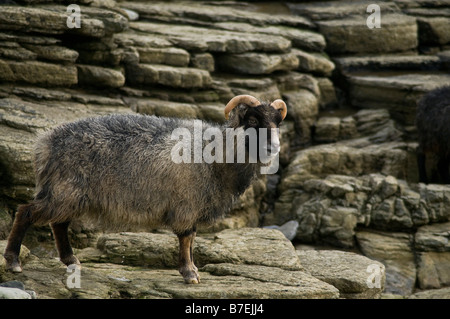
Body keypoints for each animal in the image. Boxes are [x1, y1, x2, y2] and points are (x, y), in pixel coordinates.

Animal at [3, 94, 286, 284]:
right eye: (253, 119)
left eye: (277, 123)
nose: (273, 147)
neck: (217, 155)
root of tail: (44, 143)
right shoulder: (187, 203)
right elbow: (187, 238)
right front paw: (189, 273)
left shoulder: (193, 204)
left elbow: (192, 239)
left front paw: (193, 270)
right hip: (63, 190)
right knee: (26, 212)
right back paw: (13, 261)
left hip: (70, 194)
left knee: (58, 224)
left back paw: (71, 261)